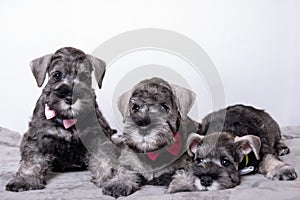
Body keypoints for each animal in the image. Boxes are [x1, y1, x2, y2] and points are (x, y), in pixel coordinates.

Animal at [6, 47, 116, 192]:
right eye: (57, 75)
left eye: (84, 76)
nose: (70, 97)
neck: (66, 118)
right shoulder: (37, 137)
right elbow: (32, 160)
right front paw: (25, 180)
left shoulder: (96, 136)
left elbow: (104, 158)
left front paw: (112, 178)